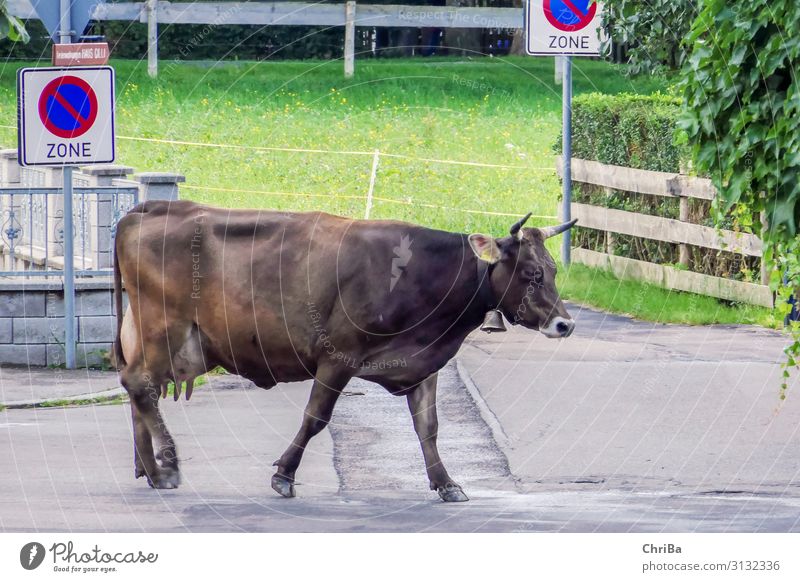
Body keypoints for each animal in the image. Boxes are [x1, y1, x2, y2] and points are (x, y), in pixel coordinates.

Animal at [114, 202, 576, 502]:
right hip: (164, 327)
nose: (565, 325)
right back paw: (166, 467)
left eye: (554, 270)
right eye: (531, 273)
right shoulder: (338, 357)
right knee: (140, 384)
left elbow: (428, 427)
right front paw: (284, 474)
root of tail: (154, 208)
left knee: (139, 388)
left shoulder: (423, 364)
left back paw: (149, 468)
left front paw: (446, 482)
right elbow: (315, 418)